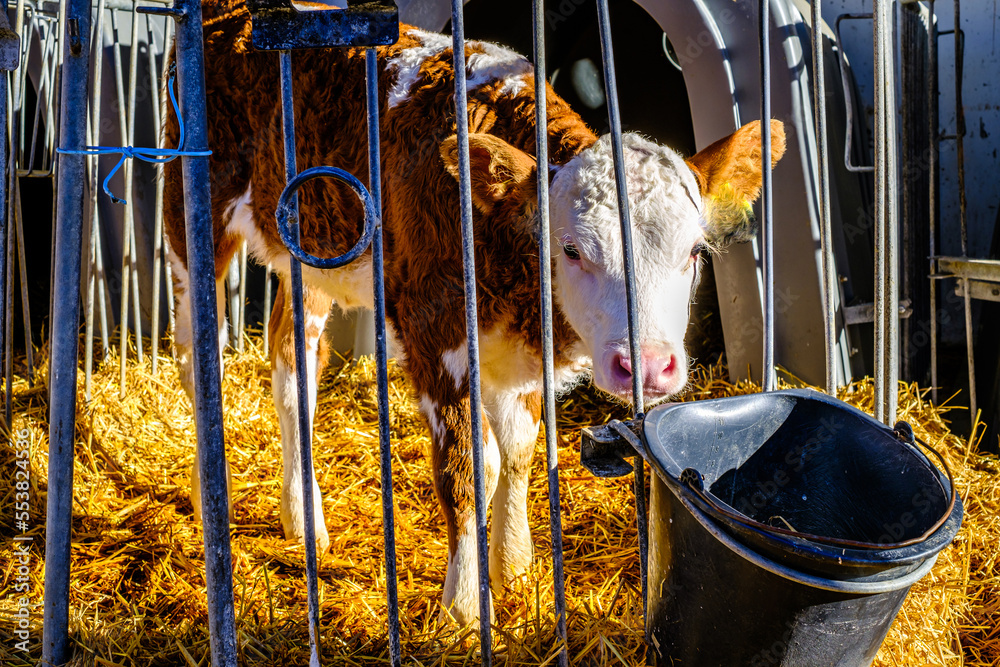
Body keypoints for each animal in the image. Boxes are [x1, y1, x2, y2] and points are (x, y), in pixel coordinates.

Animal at [164, 0, 784, 628]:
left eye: (695, 252)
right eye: (570, 250)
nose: (650, 367)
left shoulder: (520, 351)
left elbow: (519, 446)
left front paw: (515, 566)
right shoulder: (436, 332)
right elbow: (471, 462)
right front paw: (465, 605)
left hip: (307, 252)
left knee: (295, 371)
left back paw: (304, 518)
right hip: (190, 208)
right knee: (196, 358)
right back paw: (206, 491)